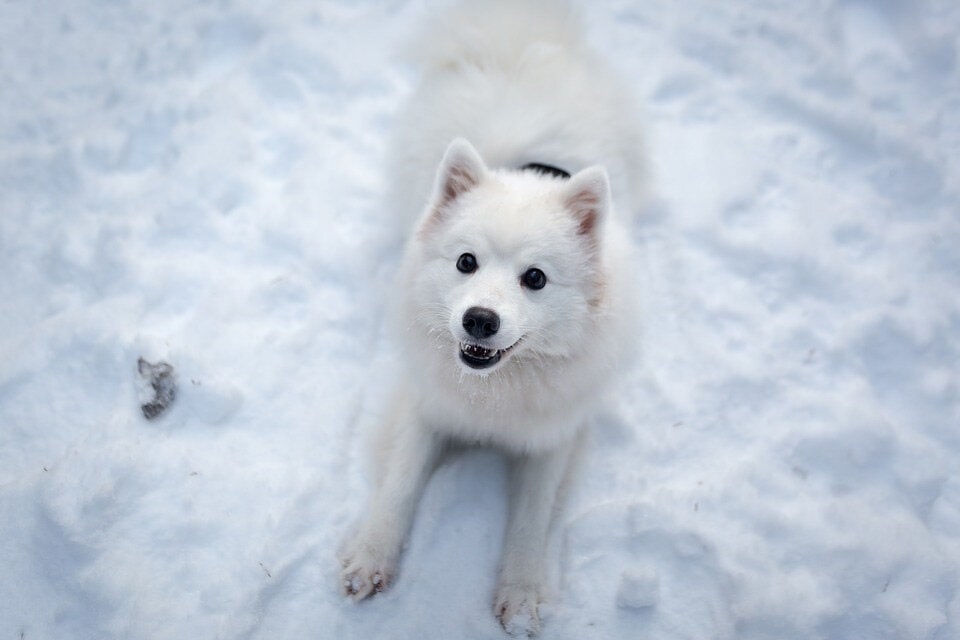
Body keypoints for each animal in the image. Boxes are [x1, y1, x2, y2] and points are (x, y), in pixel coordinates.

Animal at [340, 0, 644, 636]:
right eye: (465, 262)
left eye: (536, 278)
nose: (479, 320)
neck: (494, 392)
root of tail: (520, 38)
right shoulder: (425, 406)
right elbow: (399, 483)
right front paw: (370, 557)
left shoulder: (554, 436)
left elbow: (532, 519)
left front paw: (522, 595)